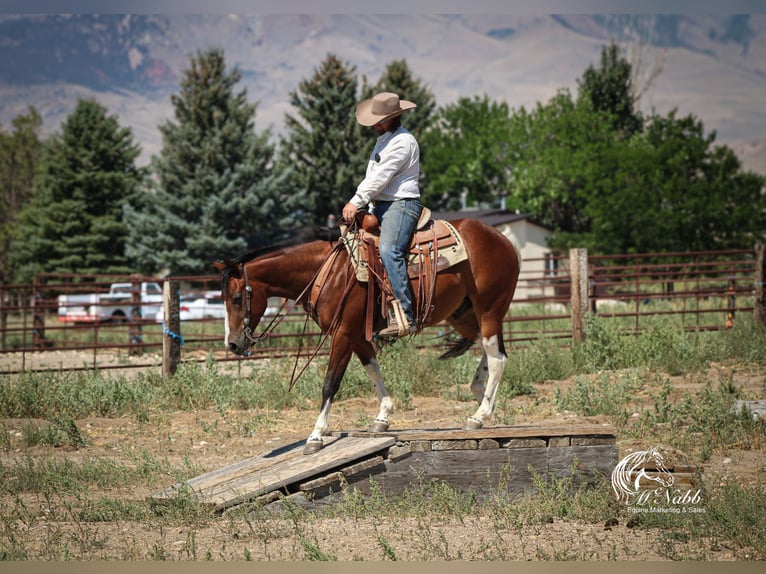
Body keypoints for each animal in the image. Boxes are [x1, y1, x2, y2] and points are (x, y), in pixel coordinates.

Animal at [214, 217, 521, 455]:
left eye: (238, 298)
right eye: (223, 298)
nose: (233, 344)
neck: (327, 269)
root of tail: (503, 240)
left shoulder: (343, 333)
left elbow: (330, 383)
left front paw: (315, 435)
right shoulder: (358, 336)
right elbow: (373, 370)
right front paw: (383, 417)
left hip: (489, 307)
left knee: (498, 358)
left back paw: (479, 416)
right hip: (462, 314)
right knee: (491, 350)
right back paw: (481, 393)